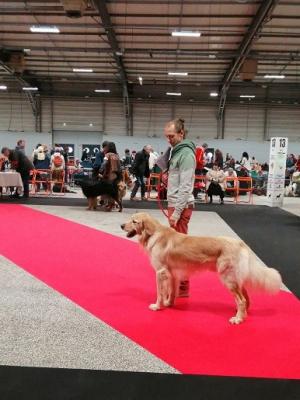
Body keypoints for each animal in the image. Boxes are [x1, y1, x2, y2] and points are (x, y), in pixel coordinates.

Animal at [120, 212, 282, 324]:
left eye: (134, 221)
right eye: (130, 219)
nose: (121, 225)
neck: (154, 234)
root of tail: (240, 243)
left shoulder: (161, 272)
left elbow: (160, 293)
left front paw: (157, 306)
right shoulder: (173, 274)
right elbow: (171, 292)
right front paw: (168, 304)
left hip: (228, 278)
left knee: (241, 299)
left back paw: (237, 319)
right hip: (234, 278)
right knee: (245, 297)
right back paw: (242, 315)